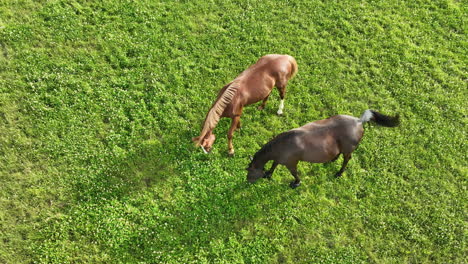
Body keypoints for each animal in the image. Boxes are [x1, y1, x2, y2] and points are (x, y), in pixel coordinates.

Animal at [245, 109, 398, 188]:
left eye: (250, 172)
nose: (248, 182)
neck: (284, 144)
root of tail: (359, 121)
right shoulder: (280, 159)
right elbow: (274, 165)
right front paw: (268, 174)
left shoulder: (291, 163)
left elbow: (294, 174)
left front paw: (296, 183)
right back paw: (332, 160)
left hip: (348, 150)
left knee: (346, 159)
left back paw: (339, 173)